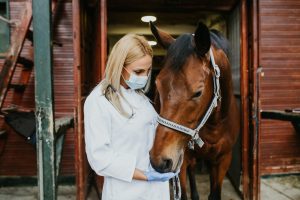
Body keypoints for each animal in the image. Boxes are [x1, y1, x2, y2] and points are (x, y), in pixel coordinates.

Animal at [149, 20, 239, 200]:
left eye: (198, 92)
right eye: (158, 85)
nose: (159, 160)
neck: (214, 126)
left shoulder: (223, 160)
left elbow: (215, 194)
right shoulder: (181, 160)